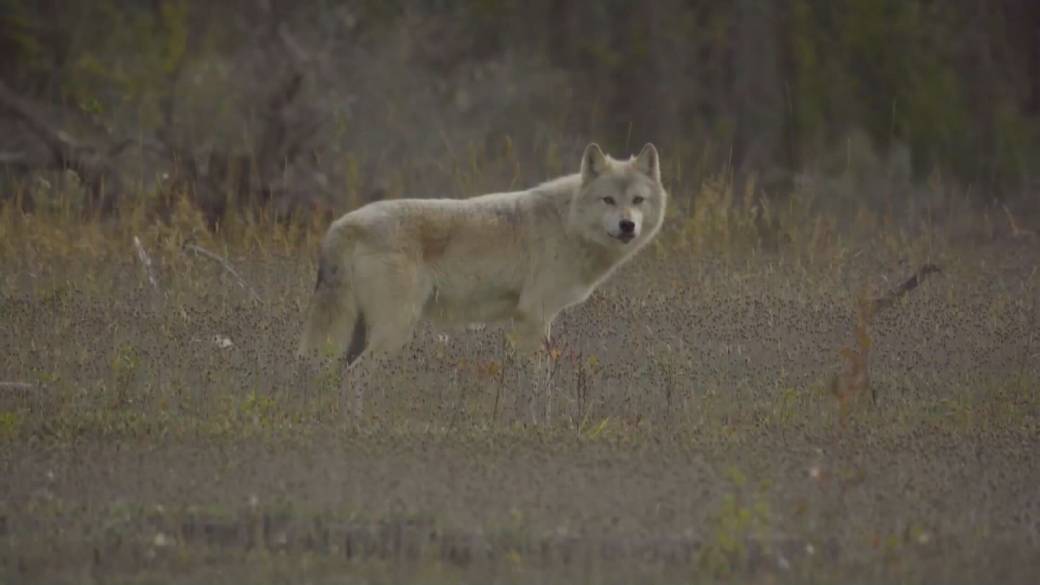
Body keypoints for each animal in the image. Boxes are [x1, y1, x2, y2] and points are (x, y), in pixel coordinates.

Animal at [298, 143, 667, 416]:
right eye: (608, 200)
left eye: (637, 200)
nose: (627, 225)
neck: (567, 223)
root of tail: (340, 226)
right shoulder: (533, 318)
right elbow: (540, 385)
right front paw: (539, 423)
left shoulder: (536, 320)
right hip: (393, 331)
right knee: (354, 377)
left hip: (361, 334)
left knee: (341, 375)